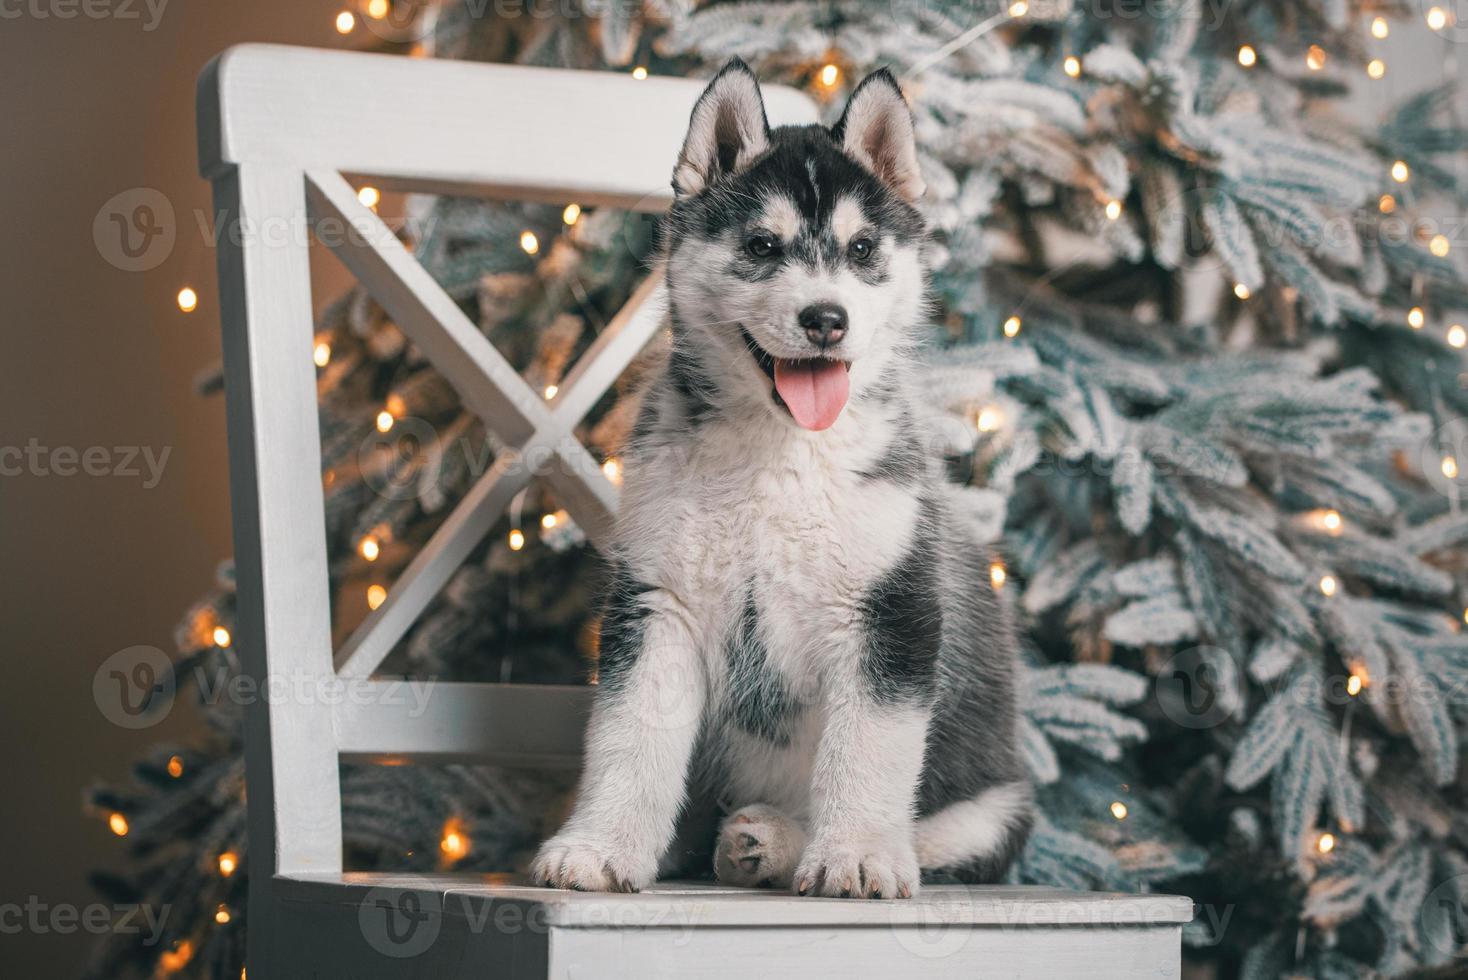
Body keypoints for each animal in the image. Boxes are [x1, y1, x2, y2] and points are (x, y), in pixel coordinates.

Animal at [531, 61, 1033, 897]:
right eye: (762, 244)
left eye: (862, 248)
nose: (825, 318)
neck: (781, 455)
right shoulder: (659, 601)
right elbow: (630, 737)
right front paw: (600, 846)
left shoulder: (890, 613)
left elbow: (866, 752)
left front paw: (856, 853)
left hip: (995, 809)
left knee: (932, 839)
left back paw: (776, 840)